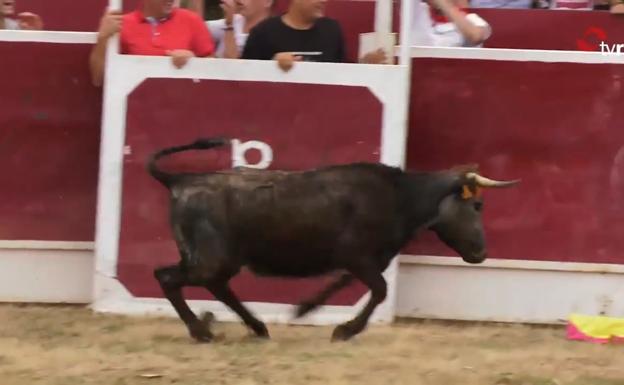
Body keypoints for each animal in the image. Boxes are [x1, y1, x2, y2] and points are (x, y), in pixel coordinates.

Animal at [147, 136, 520, 340]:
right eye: (477, 205)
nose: (481, 253)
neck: (401, 196)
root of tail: (179, 180)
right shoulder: (359, 258)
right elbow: (379, 290)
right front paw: (344, 330)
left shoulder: (361, 259)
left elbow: (344, 283)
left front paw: (303, 309)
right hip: (212, 259)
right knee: (169, 277)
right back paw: (202, 331)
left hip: (219, 260)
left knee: (216, 286)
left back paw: (256, 327)